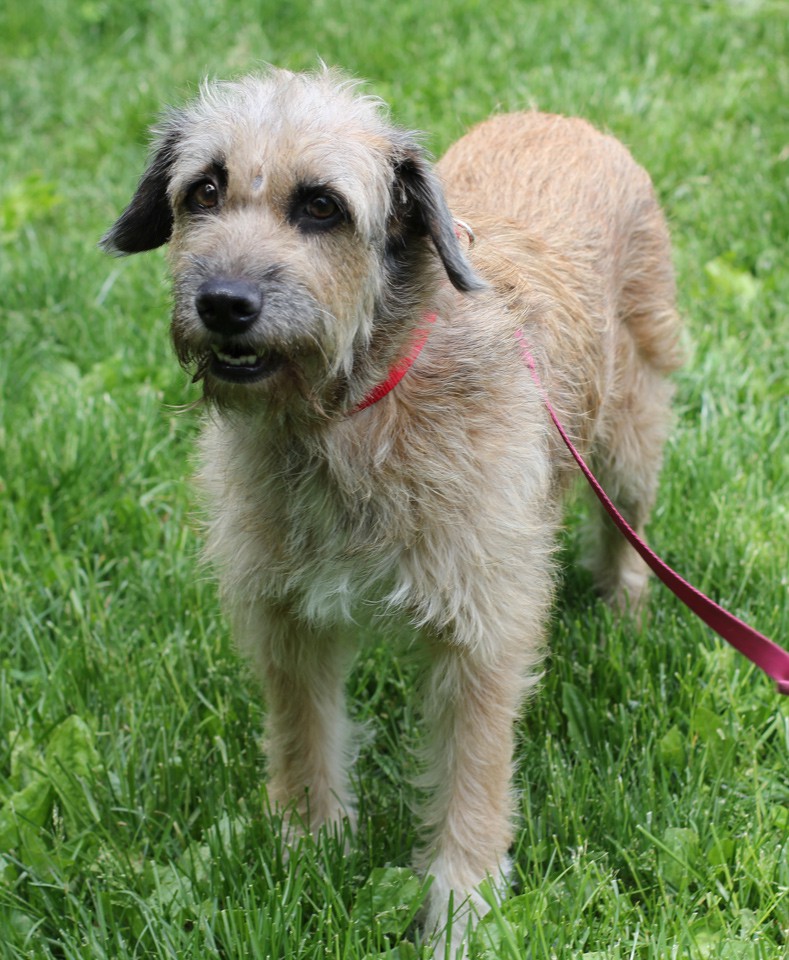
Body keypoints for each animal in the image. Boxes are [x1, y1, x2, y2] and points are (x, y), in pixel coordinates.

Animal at [102, 66, 683, 954]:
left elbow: (471, 773)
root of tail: (557, 119)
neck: (351, 416)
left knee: (626, 530)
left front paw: (462, 905)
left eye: (321, 206)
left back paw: (623, 608)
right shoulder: (287, 618)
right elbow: (304, 736)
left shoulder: (480, 633)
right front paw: (306, 849)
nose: (224, 302)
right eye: (203, 190)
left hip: (629, 434)